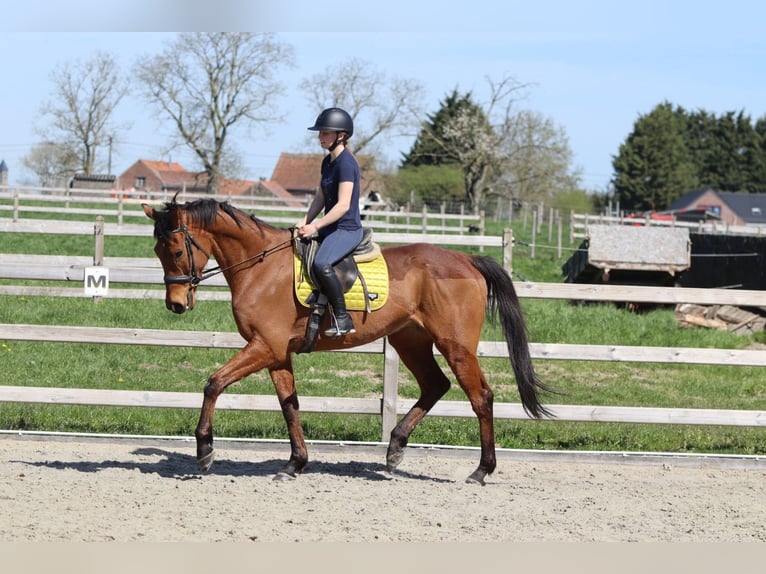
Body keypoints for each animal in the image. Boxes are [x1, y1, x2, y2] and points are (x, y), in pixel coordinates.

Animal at [142, 197, 552, 485]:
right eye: (157, 252)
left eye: (176, 251)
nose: (175, 304)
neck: (261, 267)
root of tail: (466, 259)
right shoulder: (277, 353)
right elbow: (289, 406)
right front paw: (295, 464)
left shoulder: (264, 347)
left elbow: (213, 384)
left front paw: (205, 450)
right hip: (410, 341)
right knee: (436, 385)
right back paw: (395, 449)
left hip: (456, 345)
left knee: (481, 397)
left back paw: (481, 470)